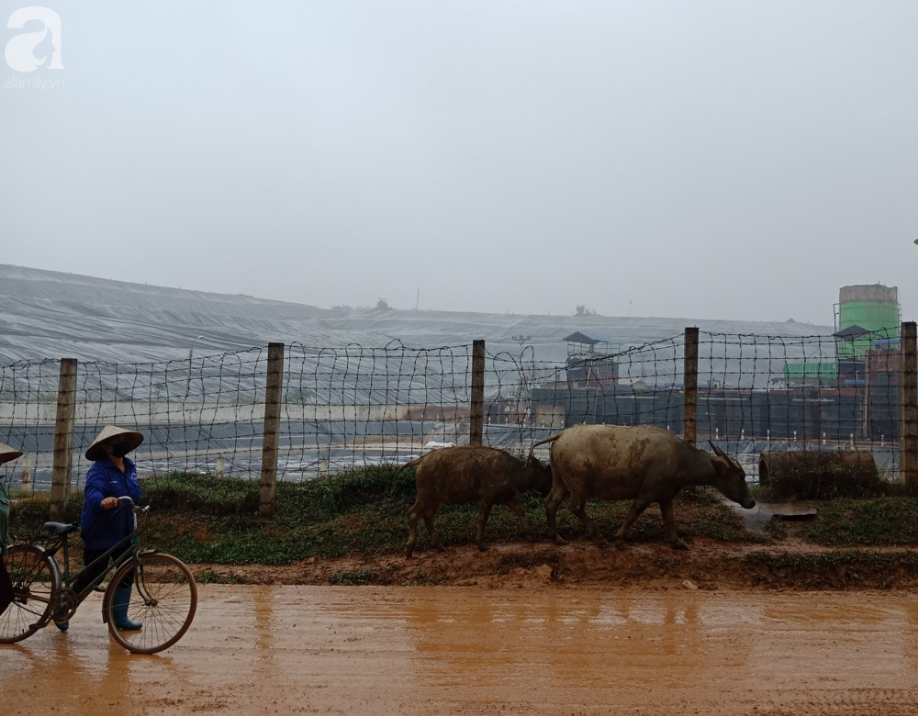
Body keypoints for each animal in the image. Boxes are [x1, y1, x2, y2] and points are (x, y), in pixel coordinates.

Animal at [402, 448, 552, 560]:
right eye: (549, 473)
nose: (552, 487)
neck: (513, 471)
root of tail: (423, 459)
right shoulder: (487, 499)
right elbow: (482, 519)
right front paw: (481, 545)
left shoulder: (508, 498)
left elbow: (521, 511)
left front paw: (530, 535)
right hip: (425, 495)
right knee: (413, 513)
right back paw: (409, 550)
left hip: (436, 499)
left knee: (428, 515)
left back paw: (439, 546)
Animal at [532, 422, 756, 552]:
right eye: (741, 476)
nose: (752, 502)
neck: (681, 458)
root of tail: (561, 435)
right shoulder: (647, 493)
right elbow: (634, 512)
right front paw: (619, 539)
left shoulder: (666, 496)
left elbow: (669, 518)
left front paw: (678, 542)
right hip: (579, 484)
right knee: (575, 506)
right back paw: (599, 538)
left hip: (560, 481)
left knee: (551, 502)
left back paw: (557, 538)